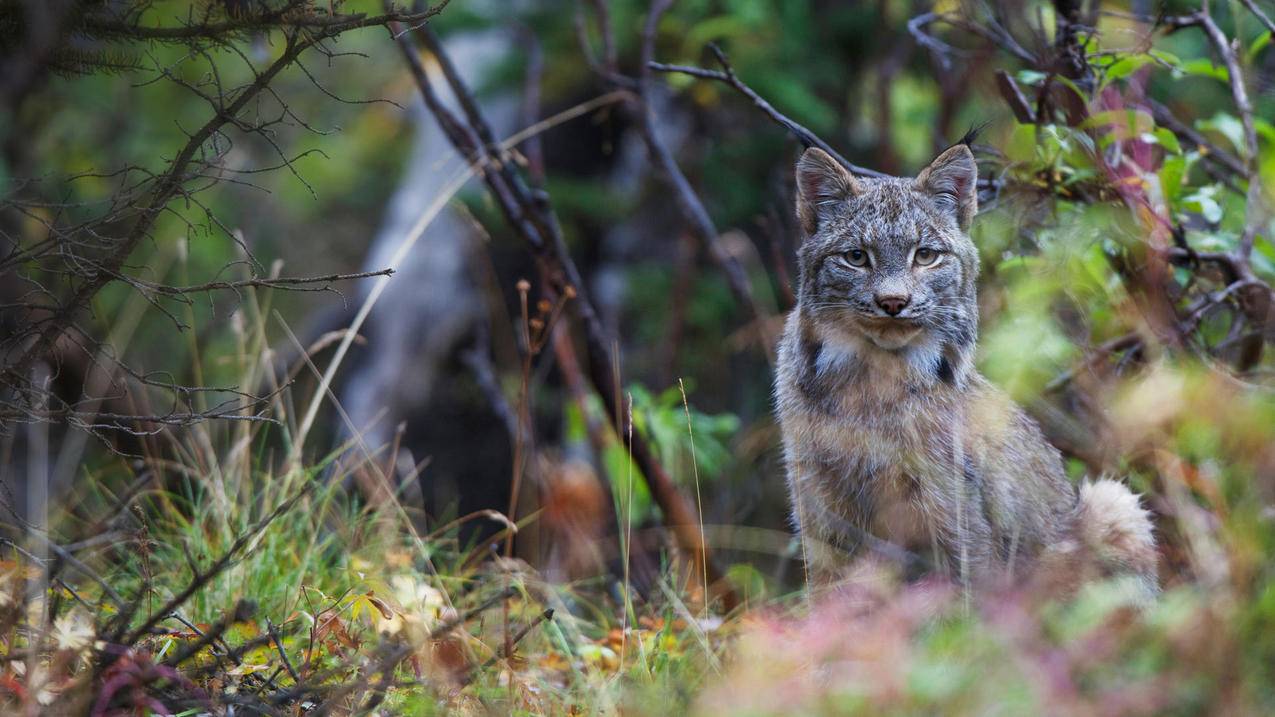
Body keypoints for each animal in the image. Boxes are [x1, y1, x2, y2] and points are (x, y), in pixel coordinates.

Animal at [770, 142, 1162, 594]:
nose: (893, 302)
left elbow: (965, 596)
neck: (872, 377)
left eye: (925, 256)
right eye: (855, 258)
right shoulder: (818, 501)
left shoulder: (951, 508)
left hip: (1115, 501)